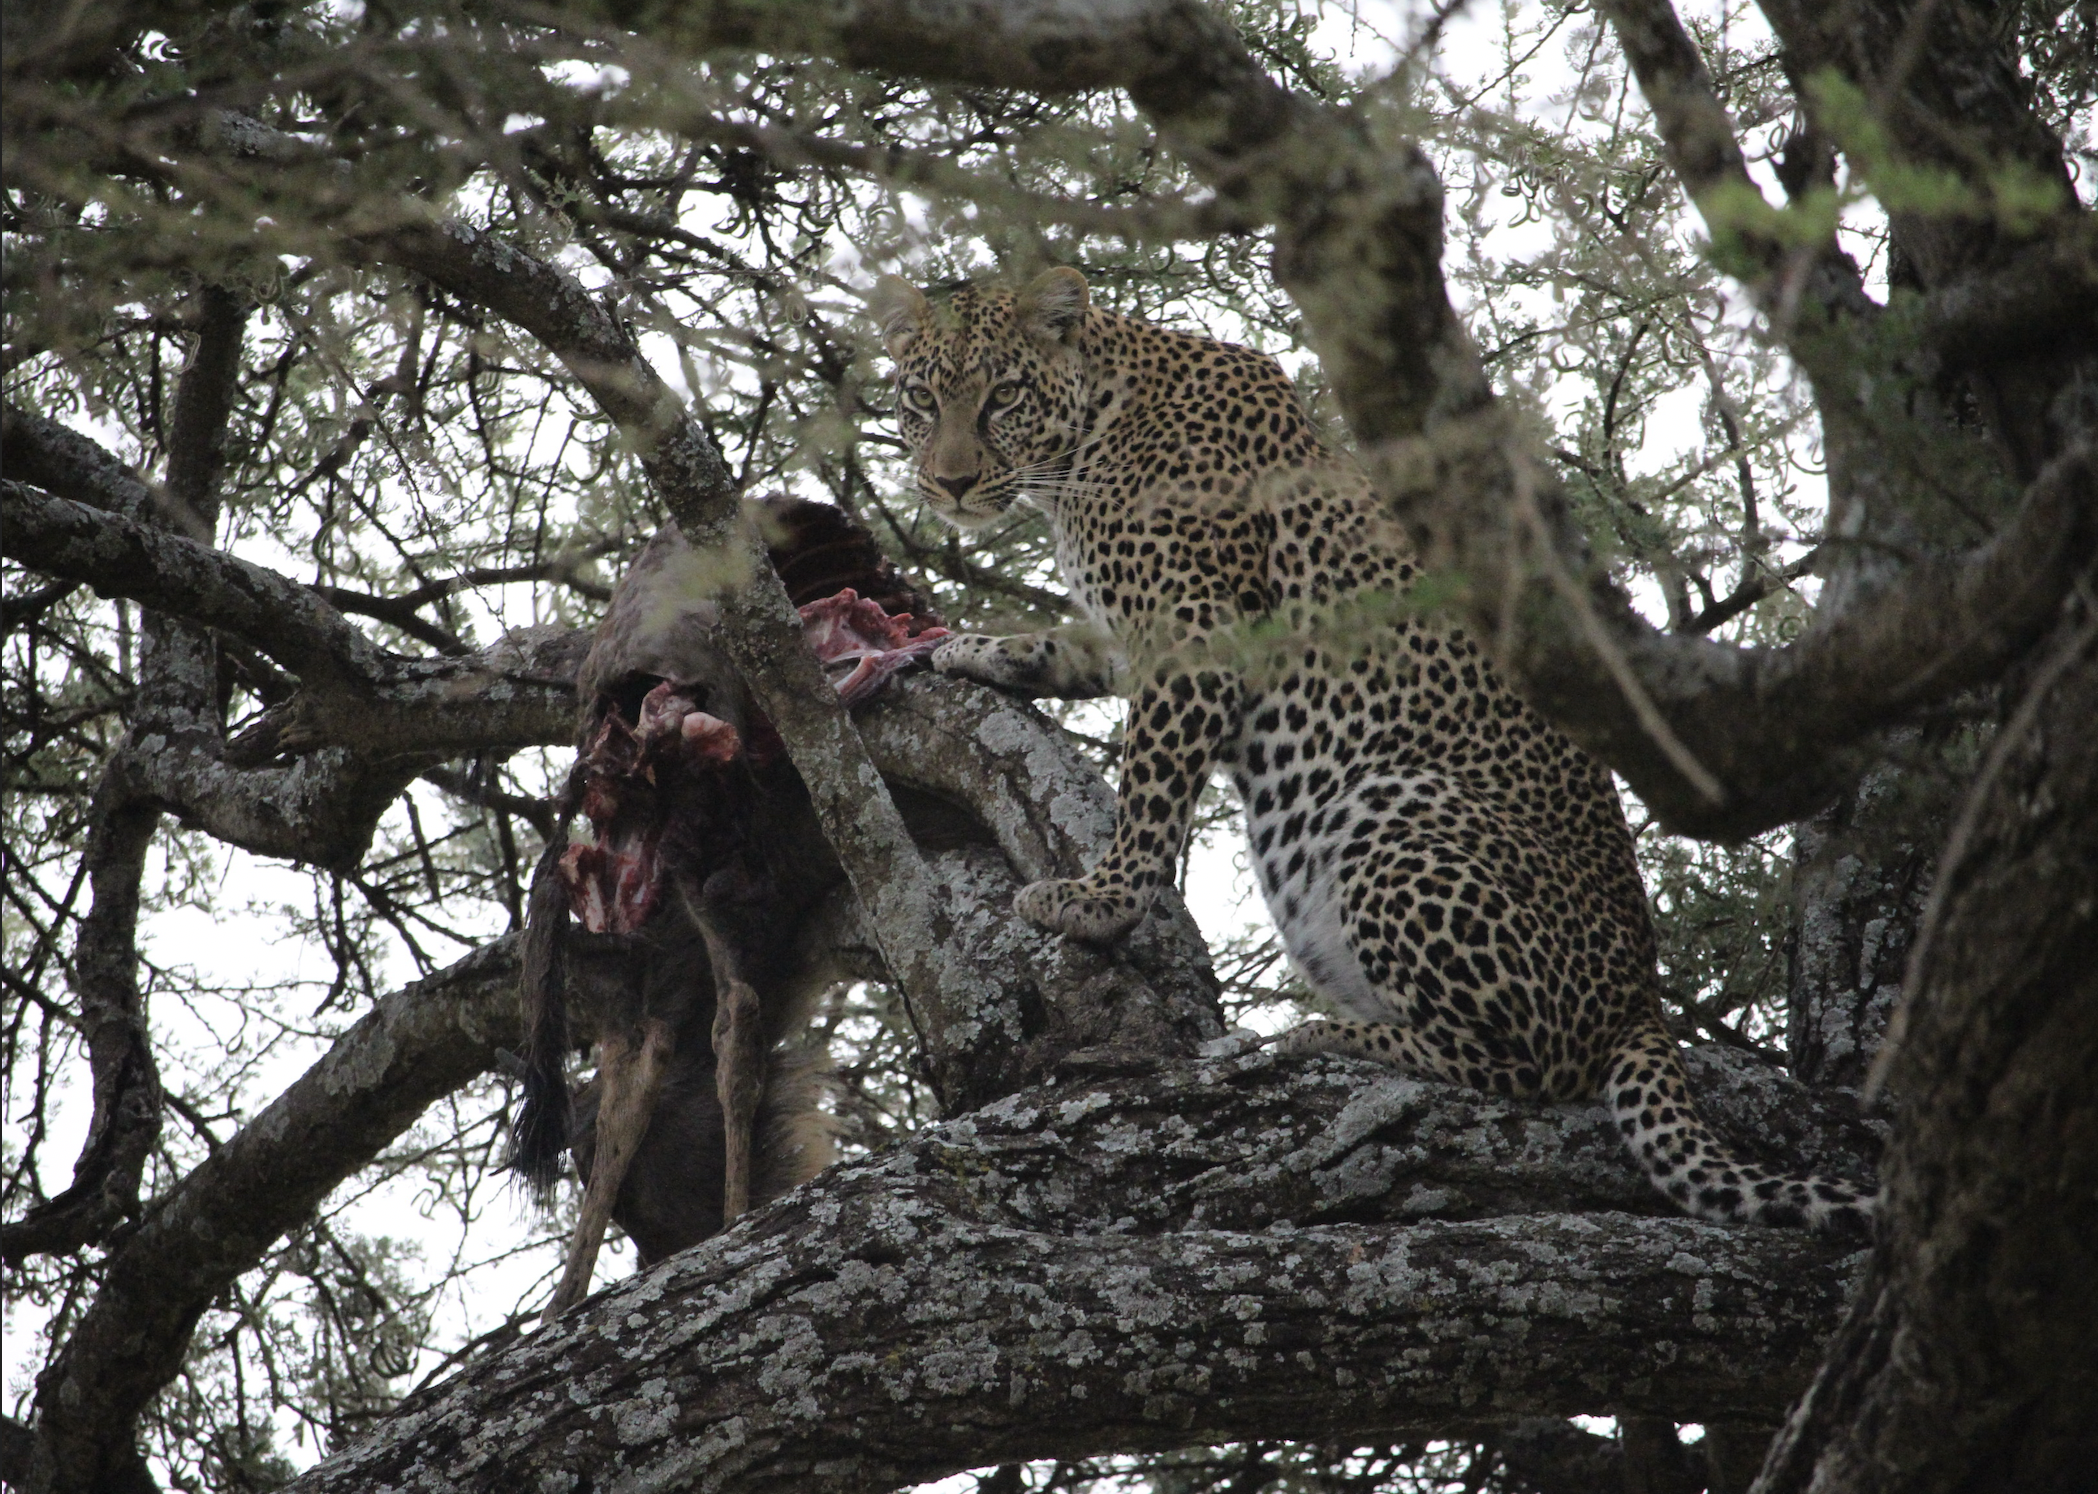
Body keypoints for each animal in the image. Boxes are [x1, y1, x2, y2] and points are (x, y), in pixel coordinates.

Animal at [871, 266, 1874, 1232]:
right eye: (922, 398)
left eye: (1003, 396)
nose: (946, 484)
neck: (1088, 436)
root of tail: (1643, 999)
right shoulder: (1139, 632)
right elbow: (1068, 646)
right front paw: (976, 648)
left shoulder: (1196, 635)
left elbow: (1149, 794)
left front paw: (1097, 902)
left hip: (1391, 809)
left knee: (1530, 1067)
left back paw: (1322, 1037)